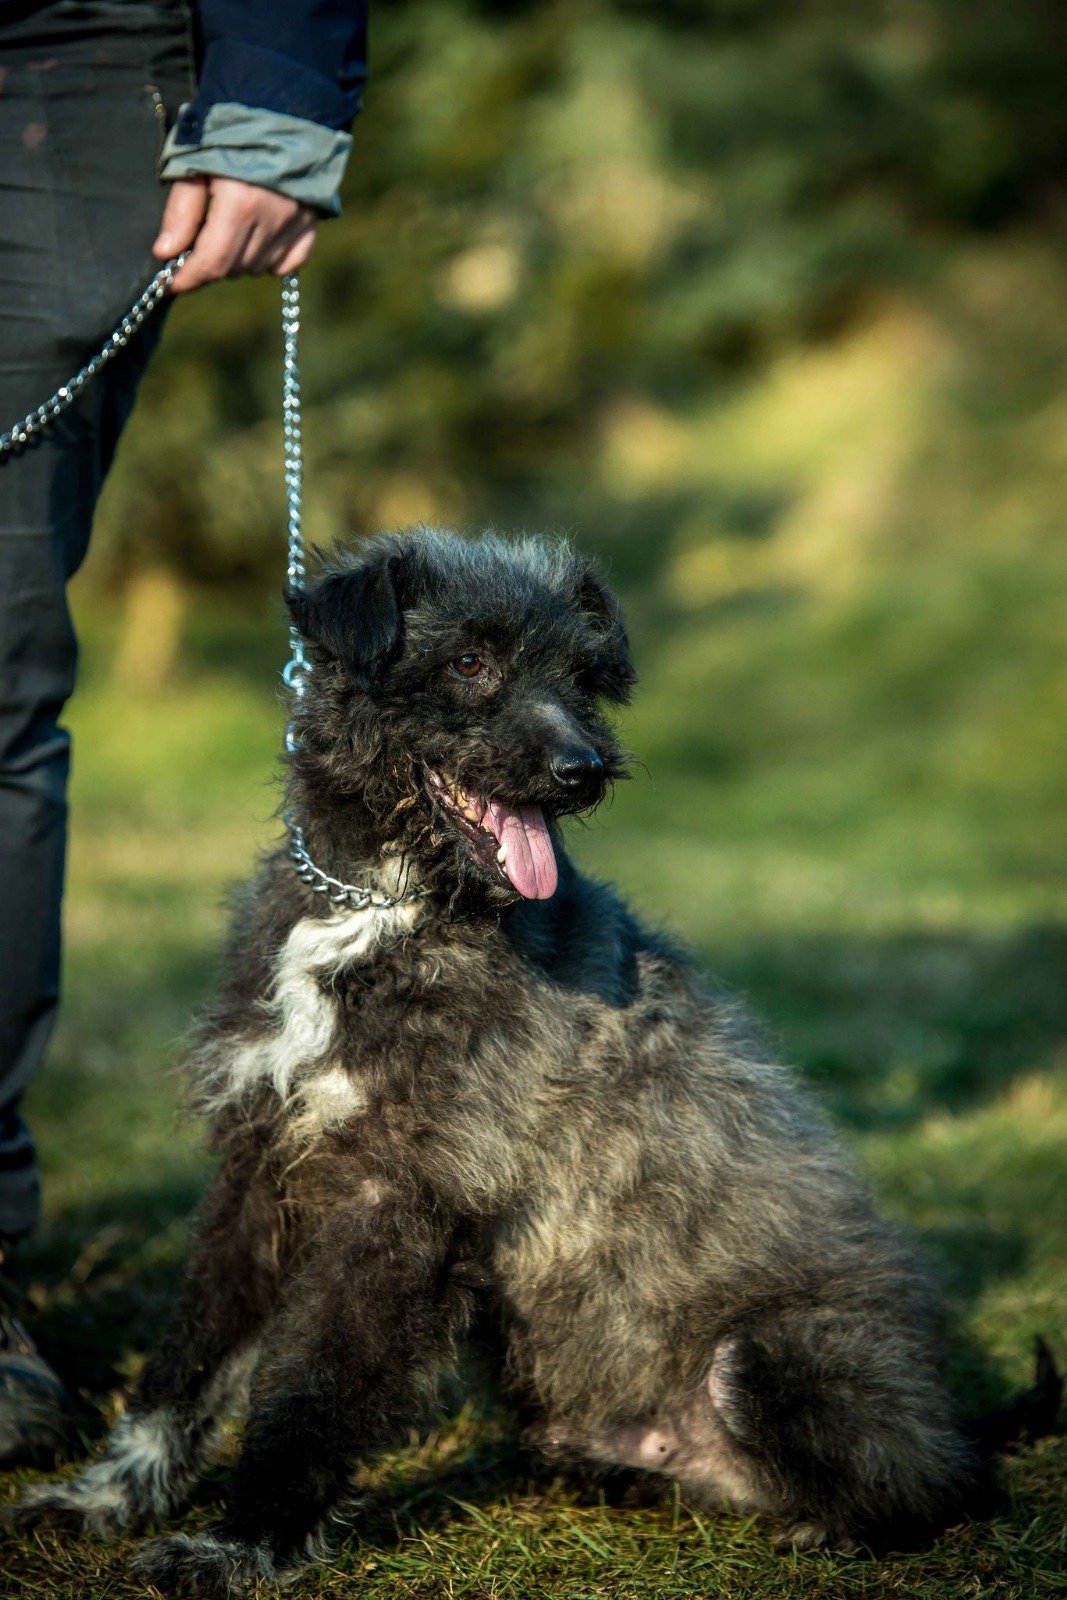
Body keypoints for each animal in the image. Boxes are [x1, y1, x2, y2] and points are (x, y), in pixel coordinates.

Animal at [13, 530, 1060, 1595]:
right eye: (470, 661)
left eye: (583, 676)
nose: (581, 770)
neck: (382, 912)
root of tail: (953, 1423)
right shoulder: (259, 1169)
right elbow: (187, 1361)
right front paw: (108, 1498)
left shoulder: (396, 1204)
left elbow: (308, 1390)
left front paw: (242, 1544)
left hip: (769, 1360)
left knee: (932, 1490)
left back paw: (827, 1522)